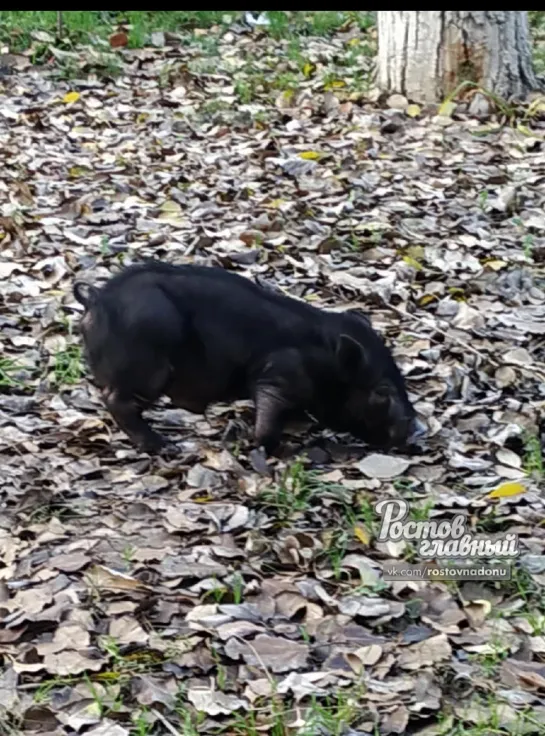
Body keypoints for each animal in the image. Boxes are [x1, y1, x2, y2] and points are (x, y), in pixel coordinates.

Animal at [72, 258, 420, 454]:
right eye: (383, 392)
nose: (417, 431)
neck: (327, 365)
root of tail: (97, 299)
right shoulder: (276, 377)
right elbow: (267, 422)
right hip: (148, 366)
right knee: (116, 401)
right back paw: (166, 448)